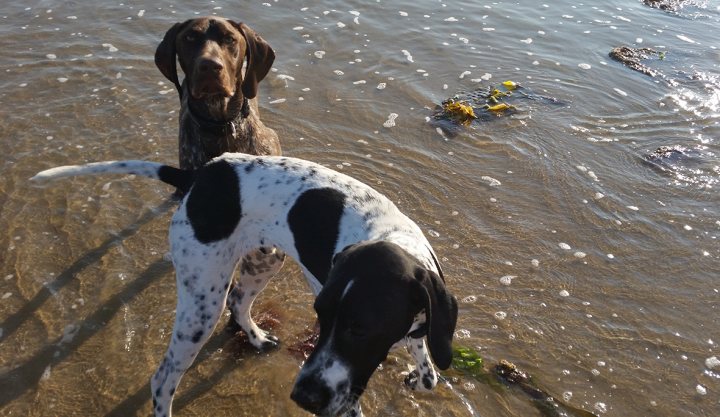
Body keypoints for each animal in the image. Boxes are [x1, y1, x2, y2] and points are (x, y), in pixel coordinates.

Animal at [31, 153, 458, 416]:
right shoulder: (342, 386)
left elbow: (429, 375)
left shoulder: (419, 324)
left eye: (361, 327)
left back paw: (255, 337)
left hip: (265, 260)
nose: (301, 396)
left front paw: (415, 375)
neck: (391, 236)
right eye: (320, 316)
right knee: (163, 379)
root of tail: (201, 174)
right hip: (202, 306)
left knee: (239, 301)